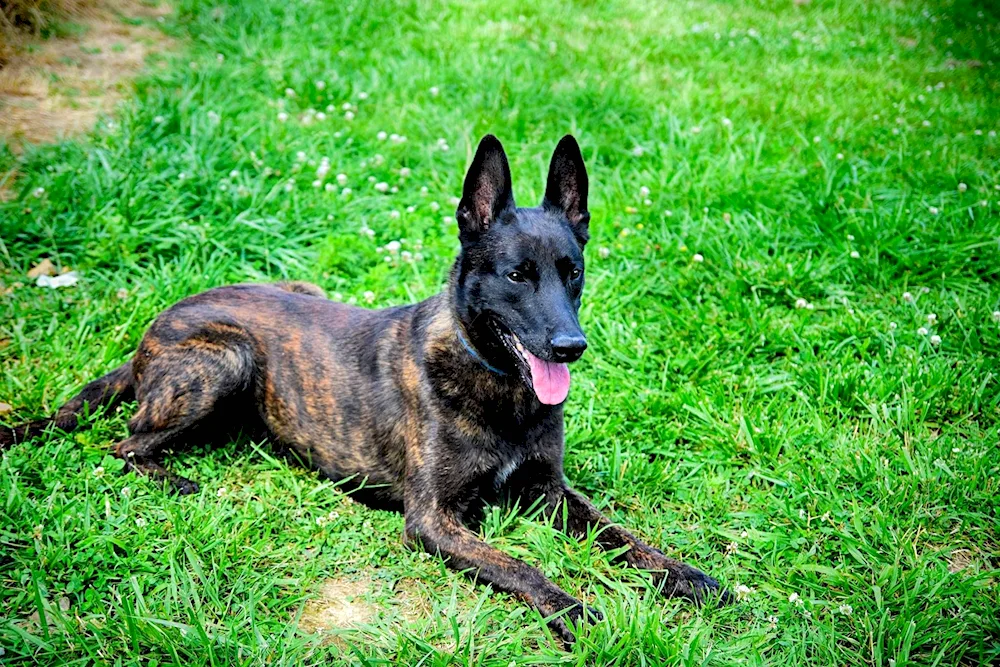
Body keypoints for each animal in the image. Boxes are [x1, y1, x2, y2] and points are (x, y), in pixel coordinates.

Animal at [3, 134, 732, 648]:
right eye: (516, 275)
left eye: (571, 271)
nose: (570, 346)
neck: (496, 382)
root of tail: (151, 330)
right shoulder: (434, 519)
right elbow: (520, 565)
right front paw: (575, 608)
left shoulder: (549, 491)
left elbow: (622, 535)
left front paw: (687, 575)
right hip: (225, 360)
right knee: (125, 443)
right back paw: (175, 477)